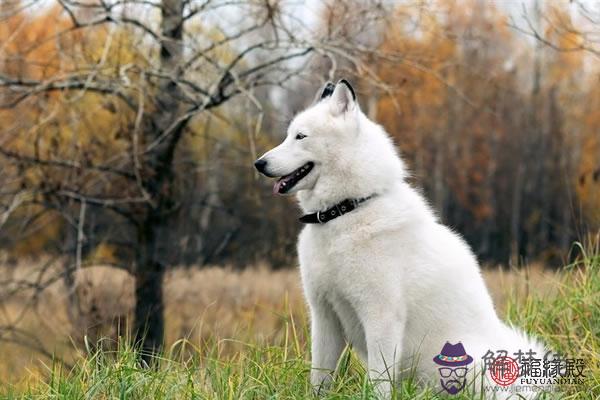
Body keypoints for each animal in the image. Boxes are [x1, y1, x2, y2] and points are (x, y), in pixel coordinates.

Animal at [255, 79, 548, 398]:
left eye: (301, 136)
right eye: (288, 135)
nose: (259, 163)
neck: (346, 211)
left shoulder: (381, 316)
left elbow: (379, 381)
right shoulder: (324, 316)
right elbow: (320, 377)